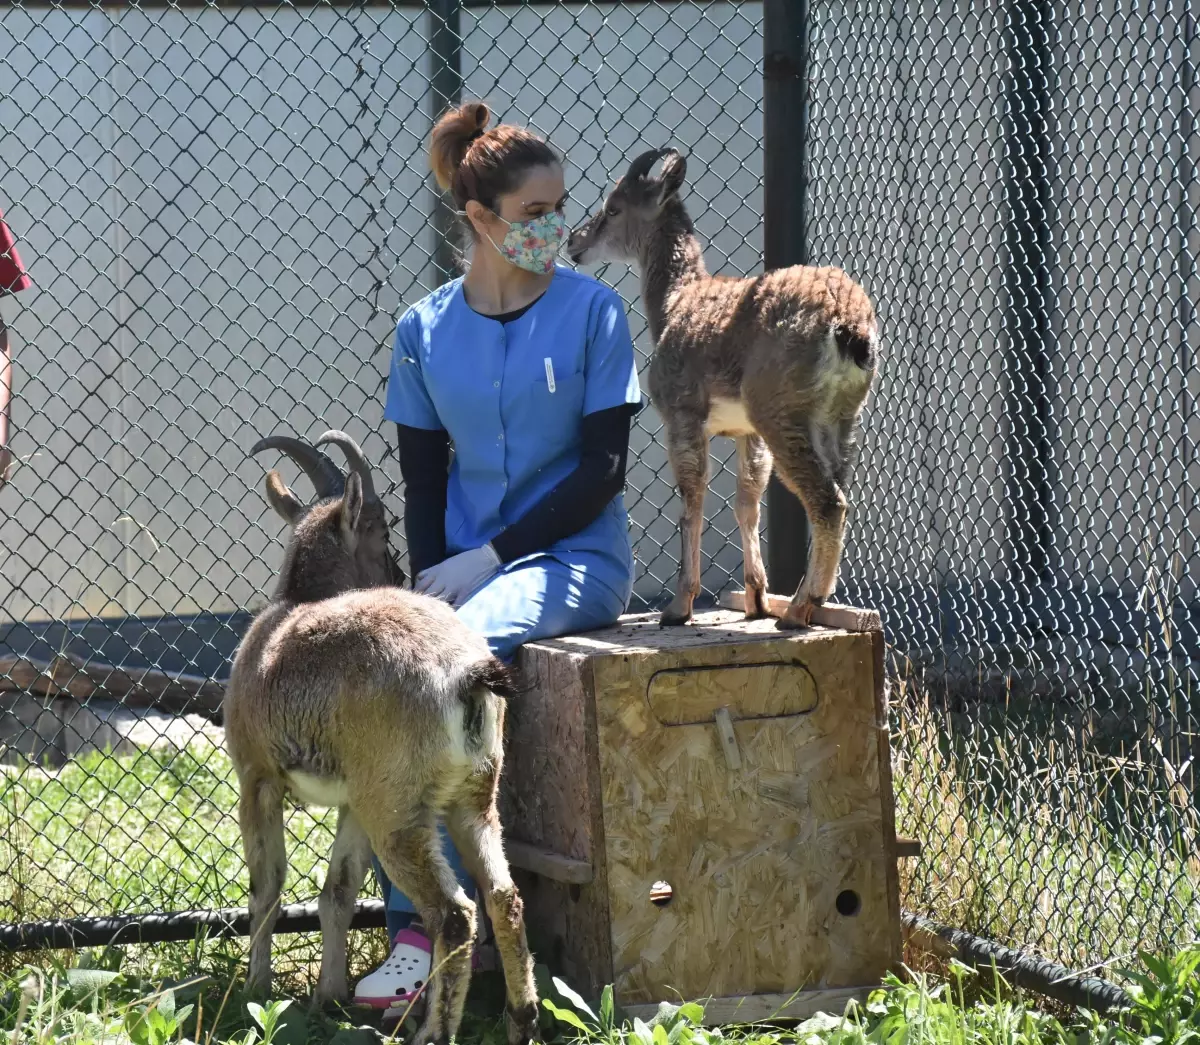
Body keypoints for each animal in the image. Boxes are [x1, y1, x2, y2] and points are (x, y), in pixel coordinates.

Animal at [224, 431, 540, 1045]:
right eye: (384, 533)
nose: (398, 575)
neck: (287, 617)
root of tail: (466, 673)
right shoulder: (353, 800)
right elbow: (338, 891)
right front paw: (328, 996)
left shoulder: (258, 778)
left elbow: (267, 888)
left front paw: (255, 990)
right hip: (470, 796)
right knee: (503, 896)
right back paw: (523, 1021)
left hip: (399, 811)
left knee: (454, 914)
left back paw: (432, 1033)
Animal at [566, 148, 878, 628]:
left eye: (614, 207)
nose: (574, 243)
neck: (674, 304)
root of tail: (849, 325)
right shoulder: (747, 432)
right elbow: (747, 499)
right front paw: (756, 599)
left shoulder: (682, 412)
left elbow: (692, 497)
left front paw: (679, 606)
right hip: (841, 415)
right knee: (837, 487)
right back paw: (802, 601)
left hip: (780, 408)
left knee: (827, 501)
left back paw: (800, 608)